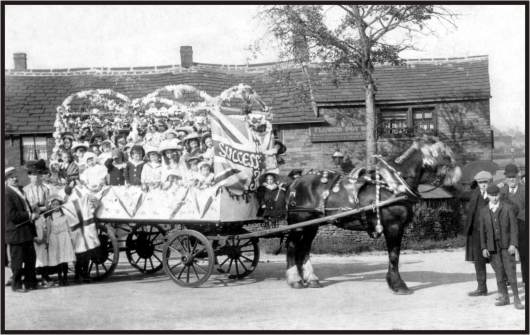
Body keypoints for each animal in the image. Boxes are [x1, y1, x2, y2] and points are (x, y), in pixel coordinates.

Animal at [282, 137, 460, 294]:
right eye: (445, 153)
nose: (458, 173)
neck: (393, 186)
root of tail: (295, 182)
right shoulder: (393, 226)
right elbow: (394, 254)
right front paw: (398, 285)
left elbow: (394, 254)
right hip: (299, 223)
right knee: (291, 246)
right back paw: (295, 280)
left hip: (311, 225)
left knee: (304, 248)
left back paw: (311, 279)